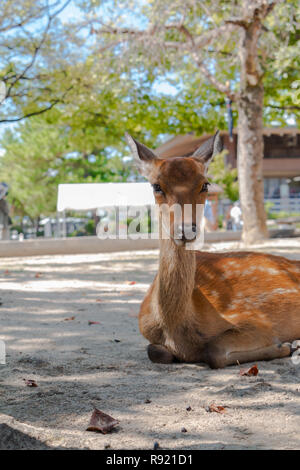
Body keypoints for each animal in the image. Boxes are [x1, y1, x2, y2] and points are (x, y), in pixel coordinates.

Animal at [125, 131, 300, 368]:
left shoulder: (257, 320)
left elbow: (214, 351)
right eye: (156, 186)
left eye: (205, 184)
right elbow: (155, 351)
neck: (176, 331)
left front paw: (286, 346)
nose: (185, 229)